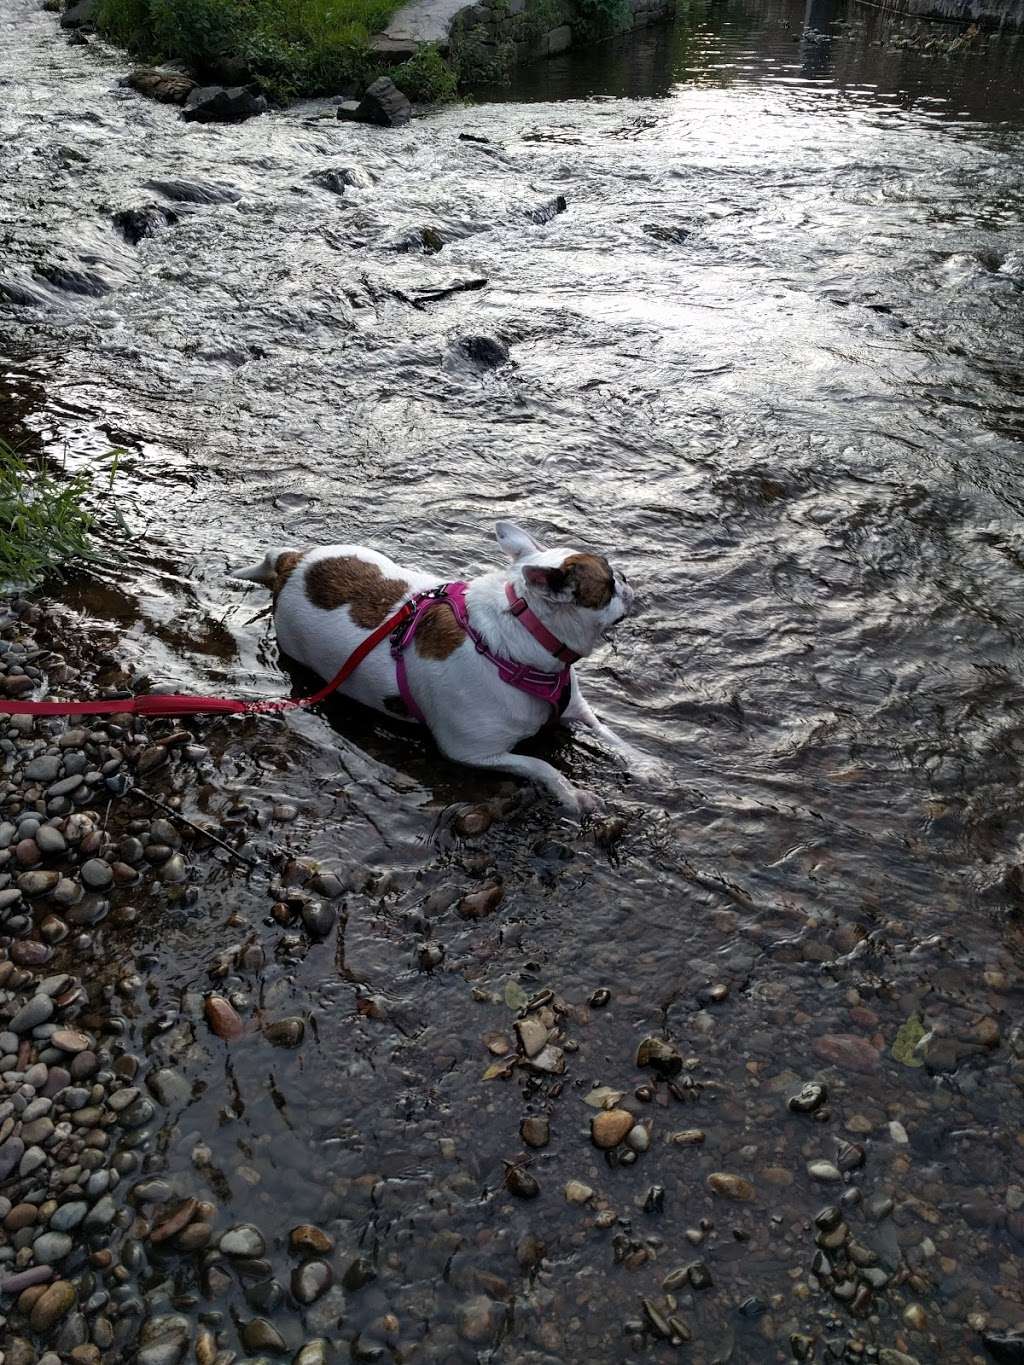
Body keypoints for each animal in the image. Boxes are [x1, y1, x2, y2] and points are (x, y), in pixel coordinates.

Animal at [234, 521, 658, 808]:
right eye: (608, 583)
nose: (625, 577)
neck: (522, 636)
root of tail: (292, 563)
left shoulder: (574, 708)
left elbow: (607, 733)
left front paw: (647, 765)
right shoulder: (476, 753)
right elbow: (542, 767)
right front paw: (574, 796)